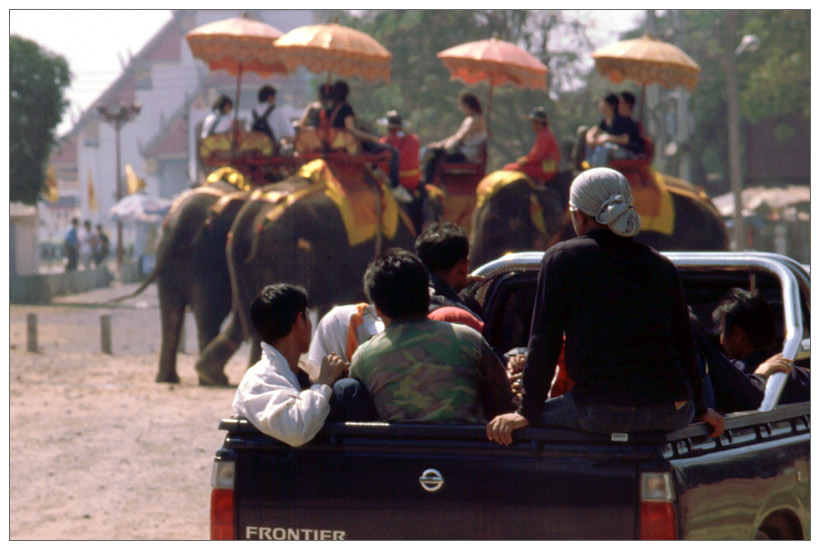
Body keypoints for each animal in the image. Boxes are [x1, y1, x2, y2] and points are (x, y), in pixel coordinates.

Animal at [115, 172, 250, 384]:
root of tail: (180, 219)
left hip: (168, 260)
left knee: (172, 311)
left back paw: (168, 379)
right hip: (206, 260)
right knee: (210, 313)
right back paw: (214, 381)